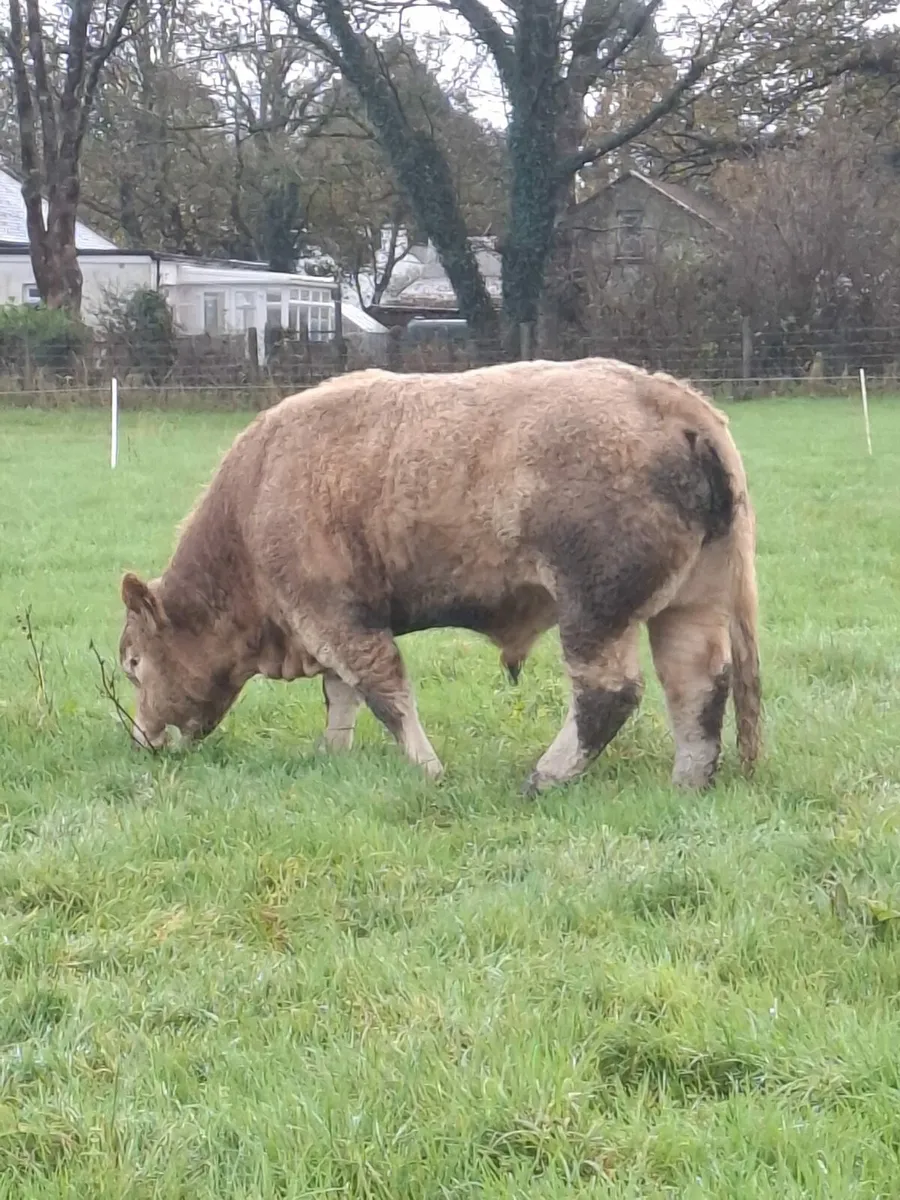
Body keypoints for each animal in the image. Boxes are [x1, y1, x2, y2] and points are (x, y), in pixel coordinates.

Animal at [117, 357, 761, 794]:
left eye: (133, 663)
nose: (143, 736)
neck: (255, 495)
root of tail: (668, 398)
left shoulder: (336, 616)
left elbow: (383, 692)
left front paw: (428, 769)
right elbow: (341, 697)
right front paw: (332, 756)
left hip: (595, 610)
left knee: (609, 693)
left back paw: (543, 778)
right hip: (688, 604)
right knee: (698, 685)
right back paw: (687, 782)